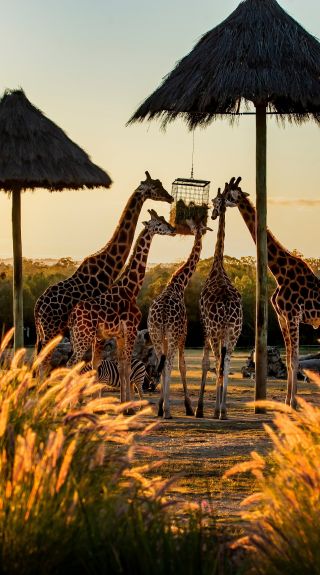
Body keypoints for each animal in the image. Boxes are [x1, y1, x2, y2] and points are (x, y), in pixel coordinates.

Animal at [33, 170, 174, 364]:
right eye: (155, 187)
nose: (170, 197)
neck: (110, 265)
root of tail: (38, 307)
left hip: (44, 333)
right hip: (51, 330)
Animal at [65, 209, 175, 408]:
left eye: (163, 220)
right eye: (158, 223)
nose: (173, 229)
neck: (131, 289)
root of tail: (73, 316)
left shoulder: (119, 335)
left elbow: (122, 365)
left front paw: (125, 404)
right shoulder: (131, 330)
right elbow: (127, 366)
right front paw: (128, 406)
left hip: (78, 336)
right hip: (83, 337)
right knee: (71, 364)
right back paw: (68, 406)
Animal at [147, 219, 209, 418]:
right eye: (199, 228)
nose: (200, 233)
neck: (178, 284)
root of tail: (163, 314)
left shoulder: (164, 336)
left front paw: (161, 404)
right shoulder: (183, 335)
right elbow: (182, 366)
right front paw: (188, 406)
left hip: (155, 334)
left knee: (161, 364)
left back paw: (161, 408)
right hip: (173, 335)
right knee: (168, 364)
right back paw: (167, 411)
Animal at [221, 178, 320, 408]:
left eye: (230, 193)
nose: (217, 202)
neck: (278, 271)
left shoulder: (293, 315)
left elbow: (294, 359)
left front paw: (293, 403)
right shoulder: (282, 316)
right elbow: (290, 360)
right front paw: (287, 401)